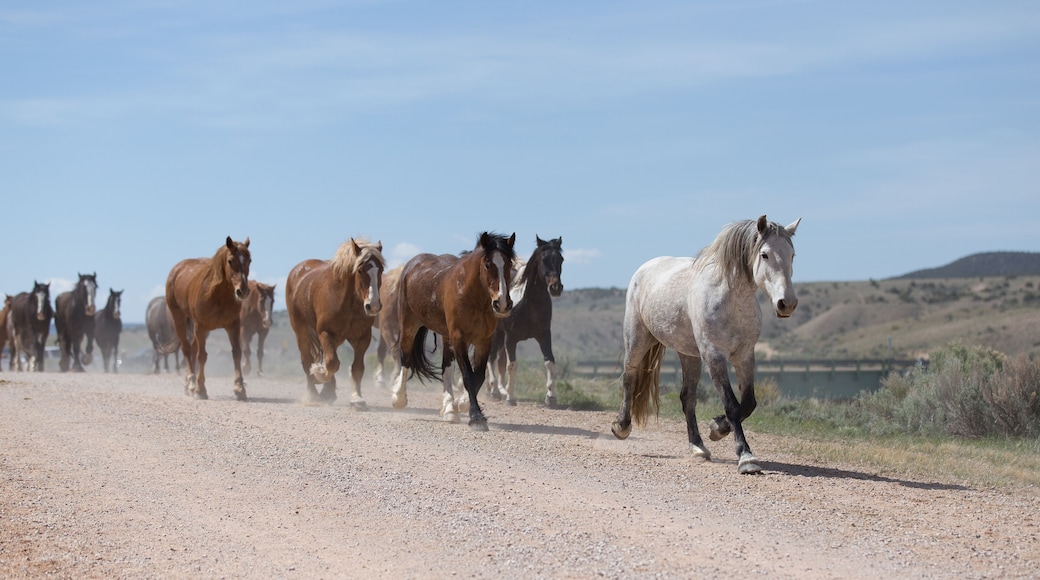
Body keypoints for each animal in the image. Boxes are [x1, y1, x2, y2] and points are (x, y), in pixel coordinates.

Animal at [165, 236, 252, 401]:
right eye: (230, 261)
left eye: (249, 260)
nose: (242, 291)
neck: (217, 294)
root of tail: (177, 270)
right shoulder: (200, 326)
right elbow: (202, 356)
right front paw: (200, 390)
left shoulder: (233, 326)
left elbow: (236, 353)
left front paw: (239, 388)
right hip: (179, 319)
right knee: (187, 349)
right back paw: (191, 383)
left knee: (192, 348)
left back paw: (189, 385)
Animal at [286, 238, 384, 406]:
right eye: (360, 270)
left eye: (381, 270)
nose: (373, 305)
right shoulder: (325, 333)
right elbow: (332, 363)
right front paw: (319, 374)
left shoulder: (362, 338)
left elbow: (357, 368)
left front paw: (357, 398)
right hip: (302, 333)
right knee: (307, 361)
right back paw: (313, 394)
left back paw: (328, 391)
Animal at [389, 232, 516, 431]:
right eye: (488, 265)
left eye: (509, 264)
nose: (502, 304)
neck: (470, 294)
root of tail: (412, 265)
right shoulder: (459, 338)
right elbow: (468, 376)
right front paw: (476, 417)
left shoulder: (484, 341)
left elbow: (477, 376)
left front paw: (462, 404)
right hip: (409, 325)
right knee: (406, 358)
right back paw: (399, 399)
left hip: (445, 336)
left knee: (446, 369)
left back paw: (449, 409)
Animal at [486, 236, 564, 407]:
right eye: (544, 259)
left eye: (561, 259)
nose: (556, 287)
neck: (529, 305)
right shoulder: (511, 338)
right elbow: (512, 365)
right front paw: (510, 398)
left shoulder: (544, 335)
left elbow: (549, 361)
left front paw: (551, 397)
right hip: (495, 335)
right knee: (491, 358)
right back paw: (494, 392)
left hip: (500, 336)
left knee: (497, 360)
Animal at [611, 215, 800, 475]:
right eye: (764, 255)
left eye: (792, 254)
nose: (787, 303)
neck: (731, 300)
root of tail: (646, 267)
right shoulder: (714, 356)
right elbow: (732, 405)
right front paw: (746, 457)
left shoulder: (744, 356)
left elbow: (748, 403)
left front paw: (717, 428)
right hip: (637, 339)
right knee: (629, 378)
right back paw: (621, 426)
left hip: (688, 354)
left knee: (687, 398)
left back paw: (698, 446)